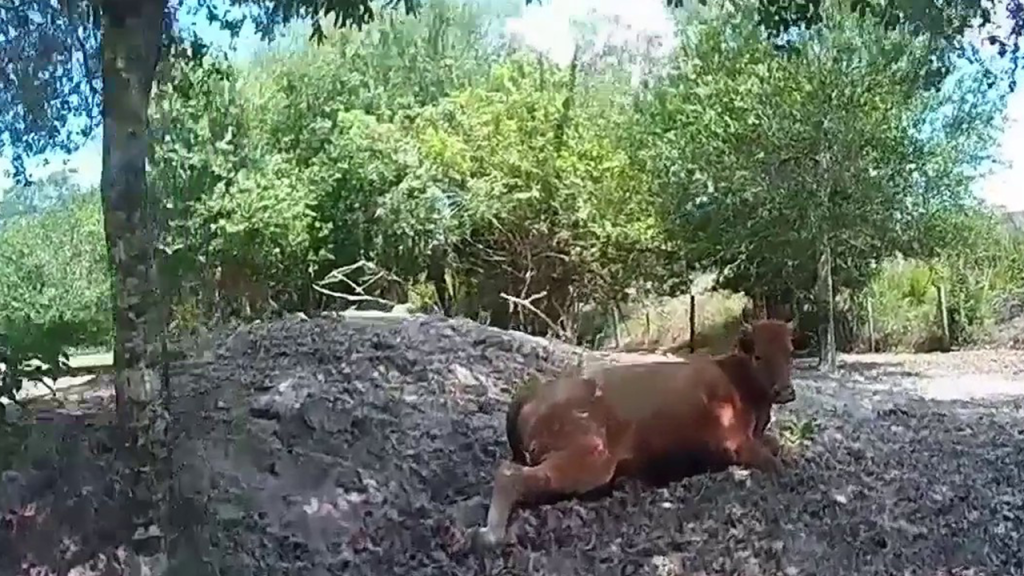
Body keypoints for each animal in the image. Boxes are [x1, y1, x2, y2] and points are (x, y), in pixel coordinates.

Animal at [467, 319, 797, 551]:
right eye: (758, 356)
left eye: (790, 352)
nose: (785, 391)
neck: (735, 378)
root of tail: (533, 393)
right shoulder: (734, 443)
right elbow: (774, 462)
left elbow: (775, 445)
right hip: (591, 458)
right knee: (510, 474)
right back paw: (490, 536)